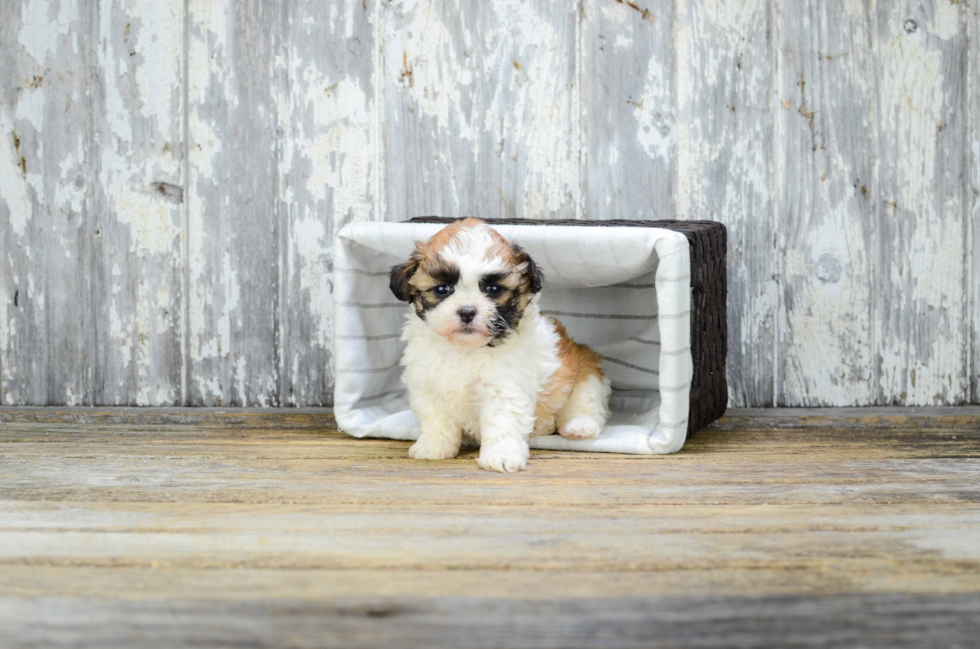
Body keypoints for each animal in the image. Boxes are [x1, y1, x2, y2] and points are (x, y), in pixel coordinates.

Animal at [388, 218, 604, 470]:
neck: (466, 348)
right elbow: (436, 419)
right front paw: (434, 445)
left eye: (493, 289)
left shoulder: (505, 387)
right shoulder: (427, 384)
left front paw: (501, 455)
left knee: (586, 405)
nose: (467, 311)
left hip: (585, 372)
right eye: (442, 289)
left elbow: (502, 422)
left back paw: (580, 426)